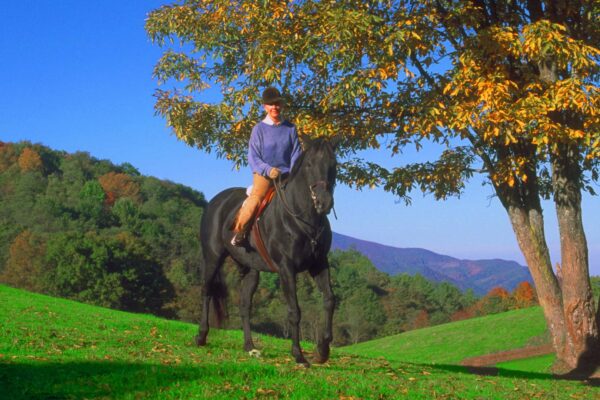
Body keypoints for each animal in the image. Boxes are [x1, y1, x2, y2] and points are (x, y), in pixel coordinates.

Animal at [196, 138, 338, 366]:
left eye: (333, 165)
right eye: (309, 165)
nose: (323, 202)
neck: (304, 221)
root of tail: (216, 201)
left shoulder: (319, 264)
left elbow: (329, 300)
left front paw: (322, 351)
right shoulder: (286, 269)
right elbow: (294, 311)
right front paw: (298, 355)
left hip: (250, 270)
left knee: (244, 306)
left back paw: (249, 347)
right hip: (212, 258)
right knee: (206, 292)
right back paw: (201, 336)